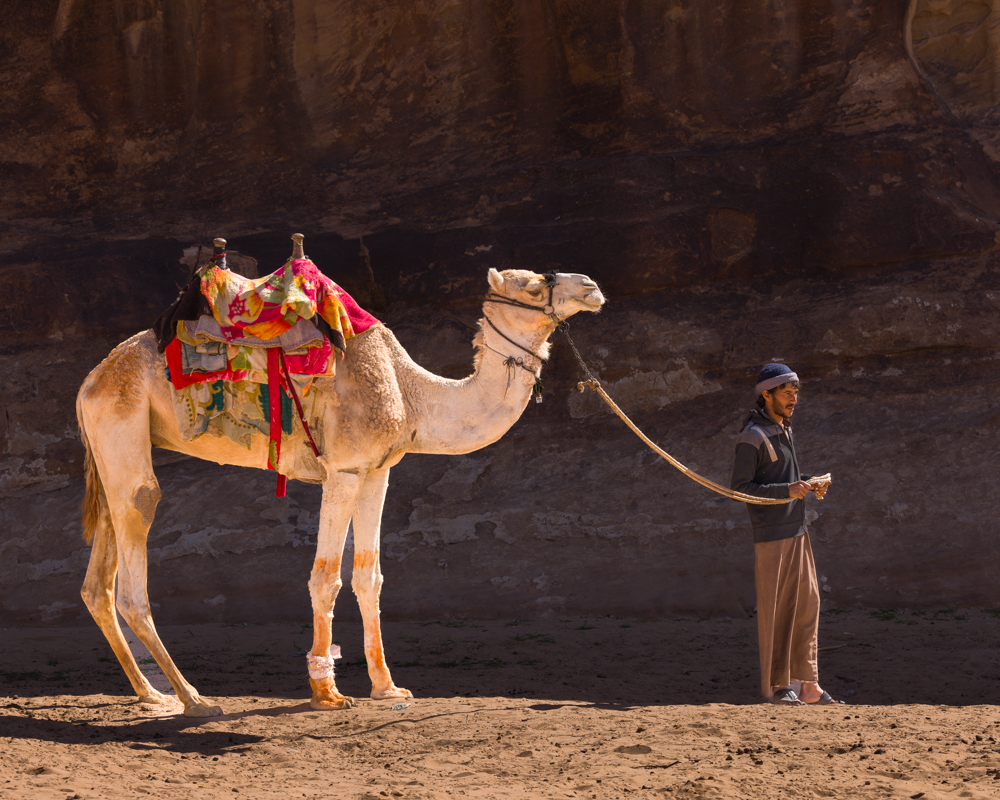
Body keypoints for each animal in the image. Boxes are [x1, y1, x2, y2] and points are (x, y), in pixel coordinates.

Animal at [76, 245, 600, 720]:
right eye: (533, 285)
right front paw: (326, 693)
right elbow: (325, 577)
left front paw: (387, 688)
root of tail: (89, 382)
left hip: (110, 449)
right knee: (136, 551)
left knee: (98, 583)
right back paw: (194, 700)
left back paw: (152, 695)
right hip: (123, 425)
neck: (411, 394)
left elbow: (369, 577)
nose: (592, 287)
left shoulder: (378, 471)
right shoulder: (344, 469)